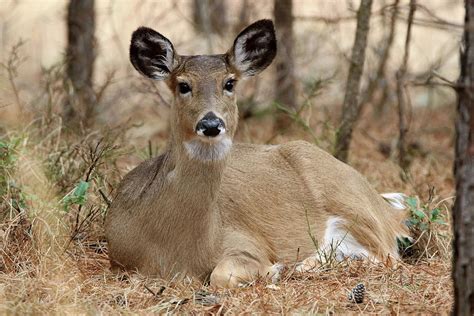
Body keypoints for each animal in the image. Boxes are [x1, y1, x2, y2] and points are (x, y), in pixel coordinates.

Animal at [105, 18, 410, 288]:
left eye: (229, 83)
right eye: (183, 85)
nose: (211, 124)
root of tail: (385, 206)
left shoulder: (245, 243)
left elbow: (221, 275)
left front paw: (274, 270)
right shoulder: (121, 260)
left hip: (354, 203)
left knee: (388, 257)